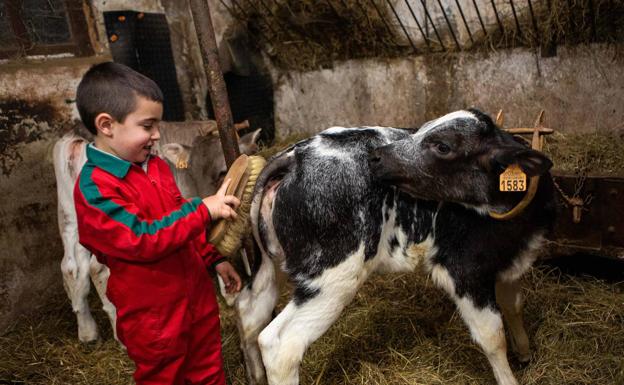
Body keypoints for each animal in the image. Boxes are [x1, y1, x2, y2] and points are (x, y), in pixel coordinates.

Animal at [235, 109, 556, 384]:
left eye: (442, 146)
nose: (376, 157)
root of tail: (296, 155)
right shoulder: (464, 270)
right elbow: (492, 336)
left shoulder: (508, 261)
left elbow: (513, 305)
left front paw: (525, 353)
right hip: (333, 277)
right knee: (281, 345)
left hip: (273, 264)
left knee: (249, 312)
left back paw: (254, 375)